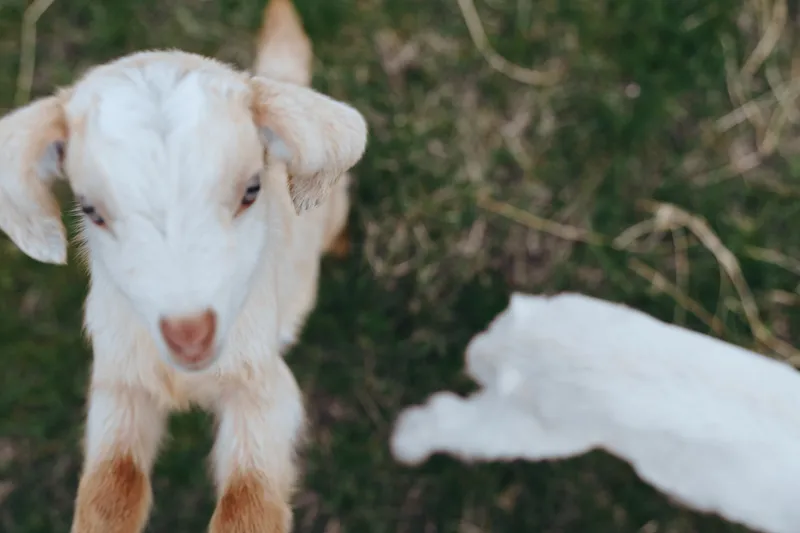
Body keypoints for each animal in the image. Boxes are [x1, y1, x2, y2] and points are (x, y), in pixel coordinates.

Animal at [0, 0, 367, 531]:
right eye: (90, 210)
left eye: (251, 190)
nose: (190, 334)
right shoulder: (118, 381)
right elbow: (110, 489)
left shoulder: (264, 387)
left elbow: (248, 503)